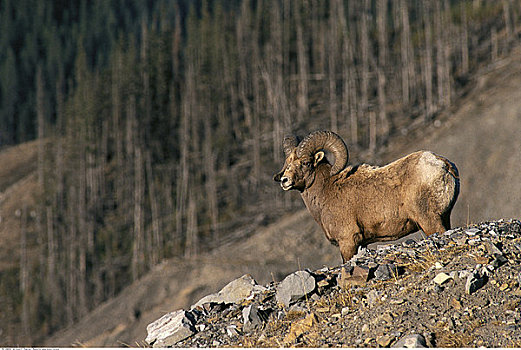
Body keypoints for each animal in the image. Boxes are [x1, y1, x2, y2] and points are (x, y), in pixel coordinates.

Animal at [272, 131, 460, 262]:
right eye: (288, 163)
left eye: (305, 162)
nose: (284, 181)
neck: (327, 191)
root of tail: (442, 164)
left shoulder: (348, 241)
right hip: (444, 218)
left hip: (429, 222)